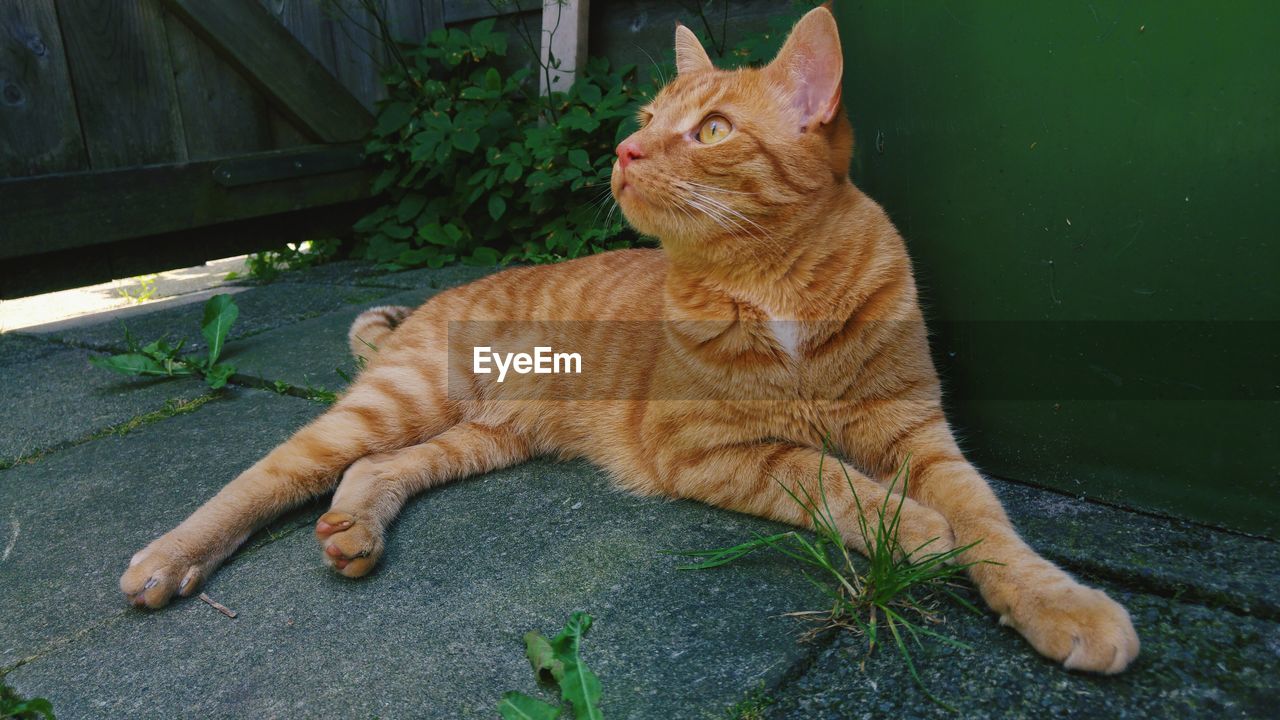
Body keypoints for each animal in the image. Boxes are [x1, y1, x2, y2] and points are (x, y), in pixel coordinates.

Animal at [120, 8, 1141, 671]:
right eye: (650, 121)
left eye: (713, 129)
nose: (625, 150)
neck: (774, 286)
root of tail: (446, 295)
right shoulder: (713, 448)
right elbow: (835, 481)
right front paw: (919, 531)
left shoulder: (918, 432)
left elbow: (993, 525)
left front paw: (1058, 601)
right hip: (397, 402)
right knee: (272, 473)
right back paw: (171, 557)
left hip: (479, 437)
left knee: (369, 472)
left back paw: (353, 534)